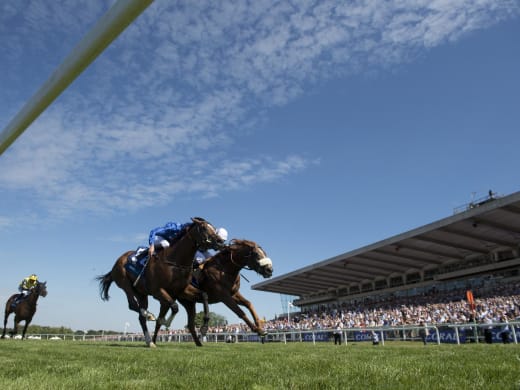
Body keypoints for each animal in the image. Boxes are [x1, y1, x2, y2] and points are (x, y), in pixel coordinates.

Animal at [96, 216, 224, 348]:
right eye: (203, 228)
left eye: (213, 228)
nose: (220, 241)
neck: (175, 262)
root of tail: (117, 262)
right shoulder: (157, 290)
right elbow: (174, 307)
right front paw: (164, 321)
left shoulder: (181, 290)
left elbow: (204, 295)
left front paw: (204, 327)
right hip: (125, 284)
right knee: (132, 304)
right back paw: (149, 315)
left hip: (141, 293)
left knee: (141, 316)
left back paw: (149, 340)